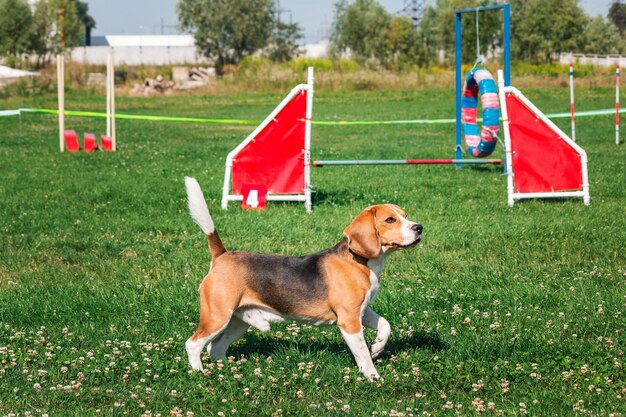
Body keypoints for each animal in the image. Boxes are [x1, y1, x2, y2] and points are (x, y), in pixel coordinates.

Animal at [183, 177, 422, 378]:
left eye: (405, 215)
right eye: (390, 220)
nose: (419, 227)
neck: (359, 261)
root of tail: (222, 255)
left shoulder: (362, 311)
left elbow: (385, 325)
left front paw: (378, 346)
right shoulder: (349, 320)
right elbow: (362, 353)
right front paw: (373, 377)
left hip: (238, 321)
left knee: (215, 348)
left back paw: (228, 368)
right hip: (217, 316)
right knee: (193, 344)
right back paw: (199, 372)